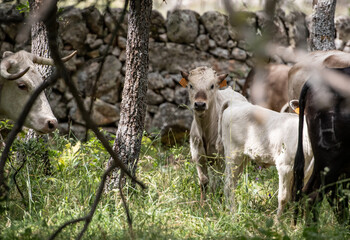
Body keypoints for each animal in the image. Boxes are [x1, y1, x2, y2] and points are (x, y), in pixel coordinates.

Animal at [179, 66, 247, 203]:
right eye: (191, 85)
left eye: (212, 86)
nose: (200, 104)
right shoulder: (198, 155)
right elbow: (204, 181)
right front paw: (203, 204)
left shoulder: (220, 158)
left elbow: (218, 181)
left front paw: (217, 202)